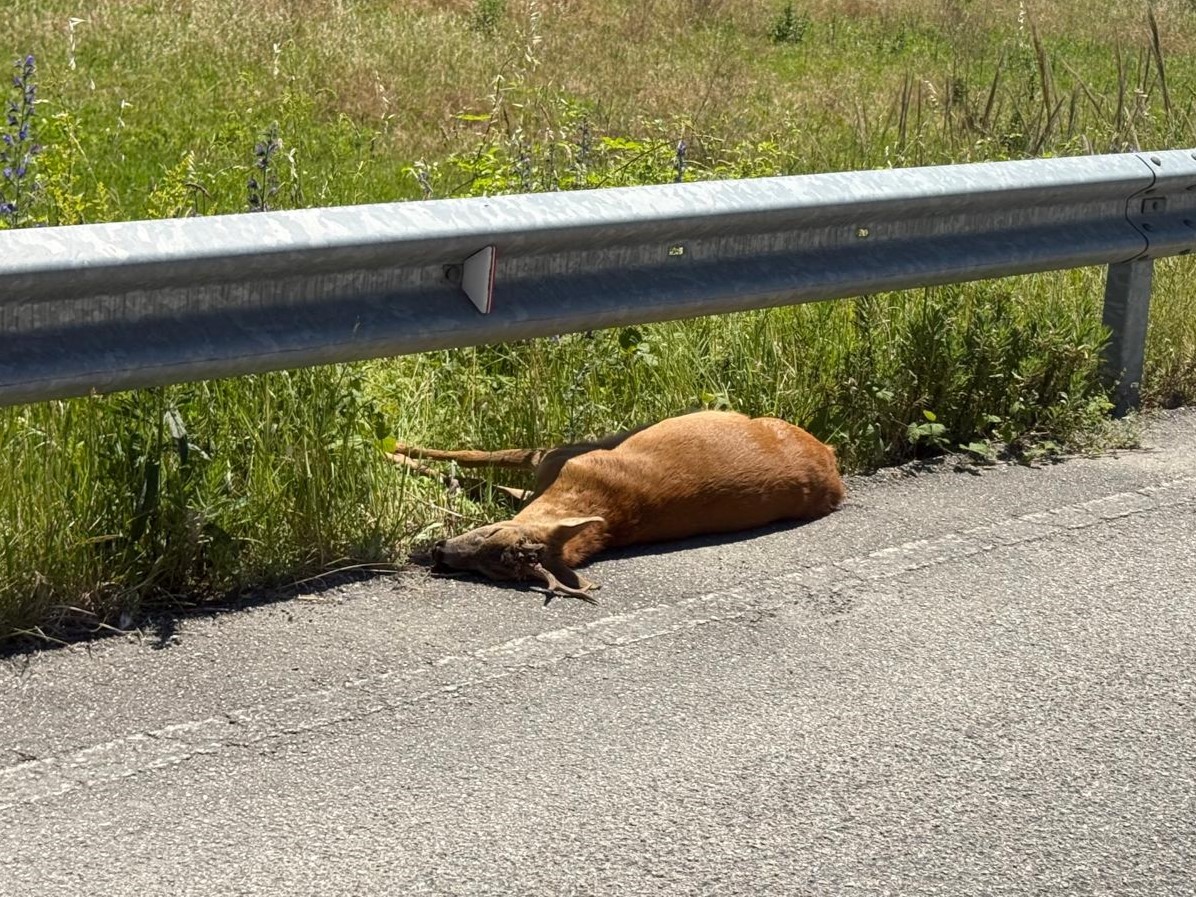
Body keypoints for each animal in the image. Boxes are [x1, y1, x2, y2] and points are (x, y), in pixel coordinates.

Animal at [389, 411, 845, 603]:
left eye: (492, 558)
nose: (439, 552)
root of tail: (831, 457)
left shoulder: (561, 454)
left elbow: (476, 457)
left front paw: (396, 450)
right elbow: (478, 473)